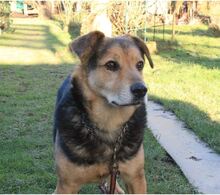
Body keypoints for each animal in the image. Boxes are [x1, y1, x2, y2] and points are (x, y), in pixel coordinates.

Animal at [53, 30, 153, 193]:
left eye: (140, 65)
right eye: (111, 65)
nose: (141, 90)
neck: (109, 123)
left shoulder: (136, 178)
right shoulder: (67, 185)